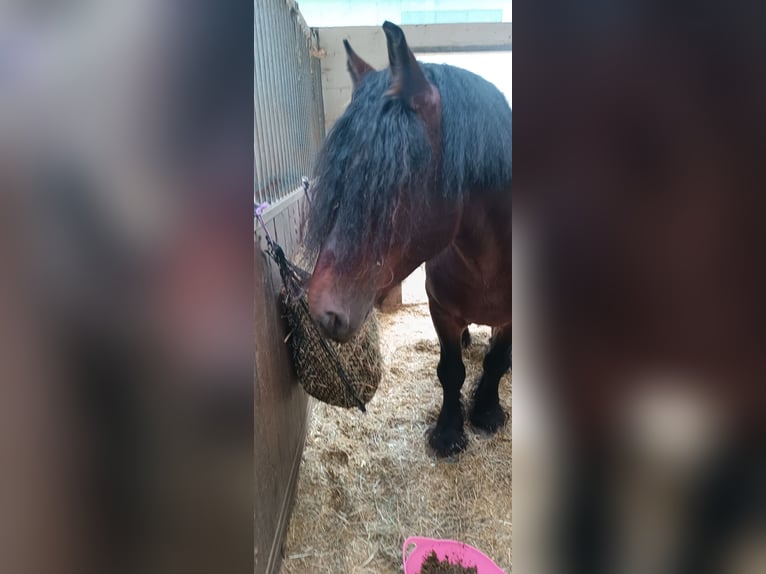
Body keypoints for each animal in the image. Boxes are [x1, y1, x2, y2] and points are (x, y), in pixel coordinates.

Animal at [304, 22, 512, 460]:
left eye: (388, 180)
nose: (321, 311)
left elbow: (496, 362)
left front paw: (486, 412)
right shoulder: (441, 310)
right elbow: (451, 370)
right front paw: (449, 432)